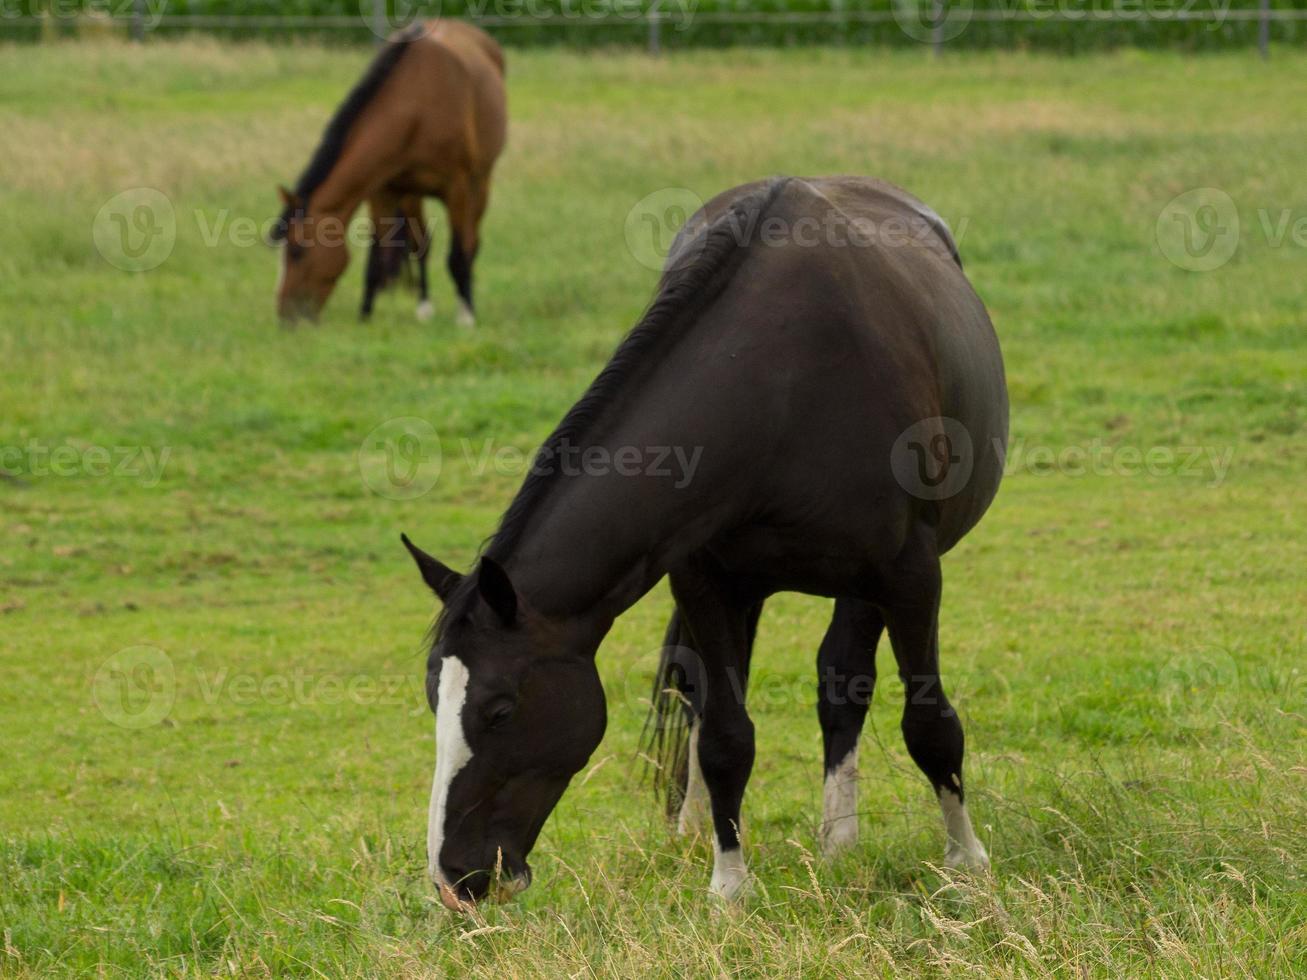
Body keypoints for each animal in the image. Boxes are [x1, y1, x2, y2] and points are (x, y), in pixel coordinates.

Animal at [270, 21, 504, 327]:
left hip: (481, 183)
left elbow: (458, 254)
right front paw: (365, 316)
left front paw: (466, 317)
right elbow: (381, 254)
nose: (286, 318)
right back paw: (424, 306)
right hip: (412, 194)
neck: (417, 107)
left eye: (297, 251)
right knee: (422, 244)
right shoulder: (383, 190)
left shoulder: (458, 188)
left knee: (470, 242)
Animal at [402, 176, 1003, 914]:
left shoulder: (908, 575)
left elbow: (928, 723)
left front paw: (966, 863)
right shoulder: (704, 582)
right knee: (706, 693)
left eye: (500, 710)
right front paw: (729, 886)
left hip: (867, 585)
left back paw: (839, 840)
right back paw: (700, 828)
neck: (780, 387)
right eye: (434, 700)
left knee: (843, 684)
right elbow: (723, 736)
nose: (454, 877)